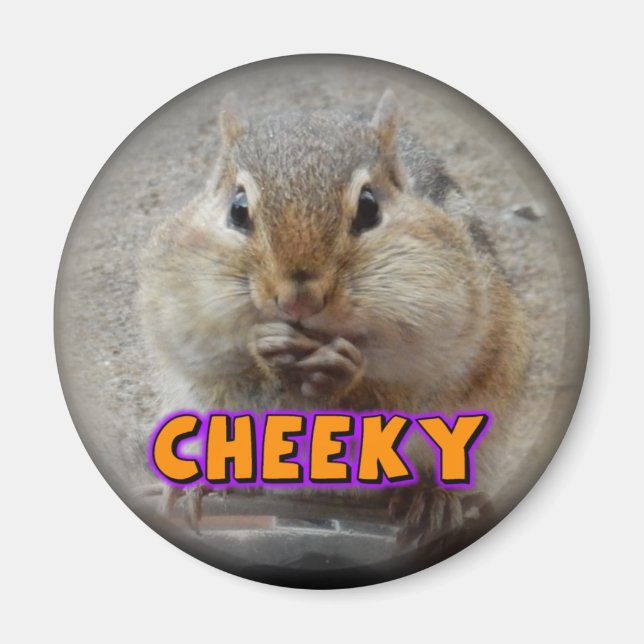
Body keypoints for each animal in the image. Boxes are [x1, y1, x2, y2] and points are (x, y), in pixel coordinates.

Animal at [138, 90, 530, 554]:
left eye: (369, 207)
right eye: (237, 209)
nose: (298, 300)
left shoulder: (451, 332)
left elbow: (398, 392)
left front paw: (343, 369)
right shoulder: (185, 323)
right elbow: (224, 367)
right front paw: (265, 346)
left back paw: (432, 499)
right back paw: (203, 486)